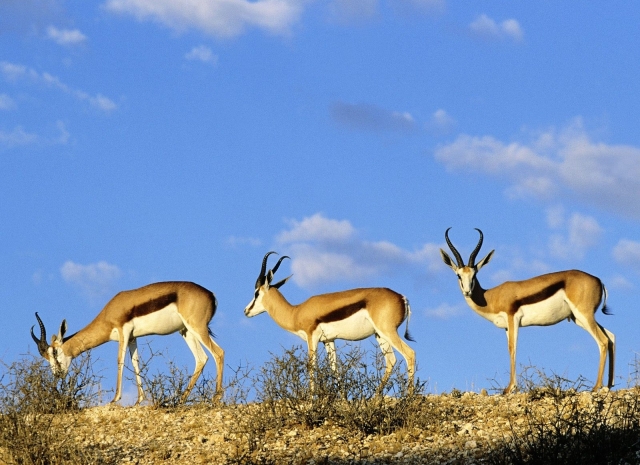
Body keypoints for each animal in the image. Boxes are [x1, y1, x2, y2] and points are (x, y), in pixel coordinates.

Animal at [31, 281, 224, 405]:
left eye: (54, 352)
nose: (57, 375)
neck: (110, 311)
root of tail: (211, 294)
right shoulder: (132, 337)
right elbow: (135, 362)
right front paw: (139, 400)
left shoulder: (123, 332)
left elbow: (120, 361)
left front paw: (115, 398)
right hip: (186, 331)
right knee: (201, 359)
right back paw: (181, 400)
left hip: (197, 328)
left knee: (218, 353)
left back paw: (216, 398)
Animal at [244, 251, 416, 390]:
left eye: (256, 293)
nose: (246, 311)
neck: (296, 312)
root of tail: (402, 298)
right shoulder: (329, 341)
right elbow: (335, 369)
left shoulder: (312, 338)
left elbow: (311, 367)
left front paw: (310, 403)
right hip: (380, 335)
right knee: (391, 361)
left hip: (388, 331)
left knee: (410, 354)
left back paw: (408, 399)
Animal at [440, 228, 615, 393]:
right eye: (458, 275)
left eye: (474, 275)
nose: (467, 291)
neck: (490, 297)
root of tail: (598, 280)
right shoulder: (506, 327)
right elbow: (510, 348)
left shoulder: (513, 319)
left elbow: (513, 348)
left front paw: (510, 388)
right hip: (579, 318)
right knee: (611, 337)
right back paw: (609, 385)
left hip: (583, 315)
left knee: (603, 341)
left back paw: (596, 387)